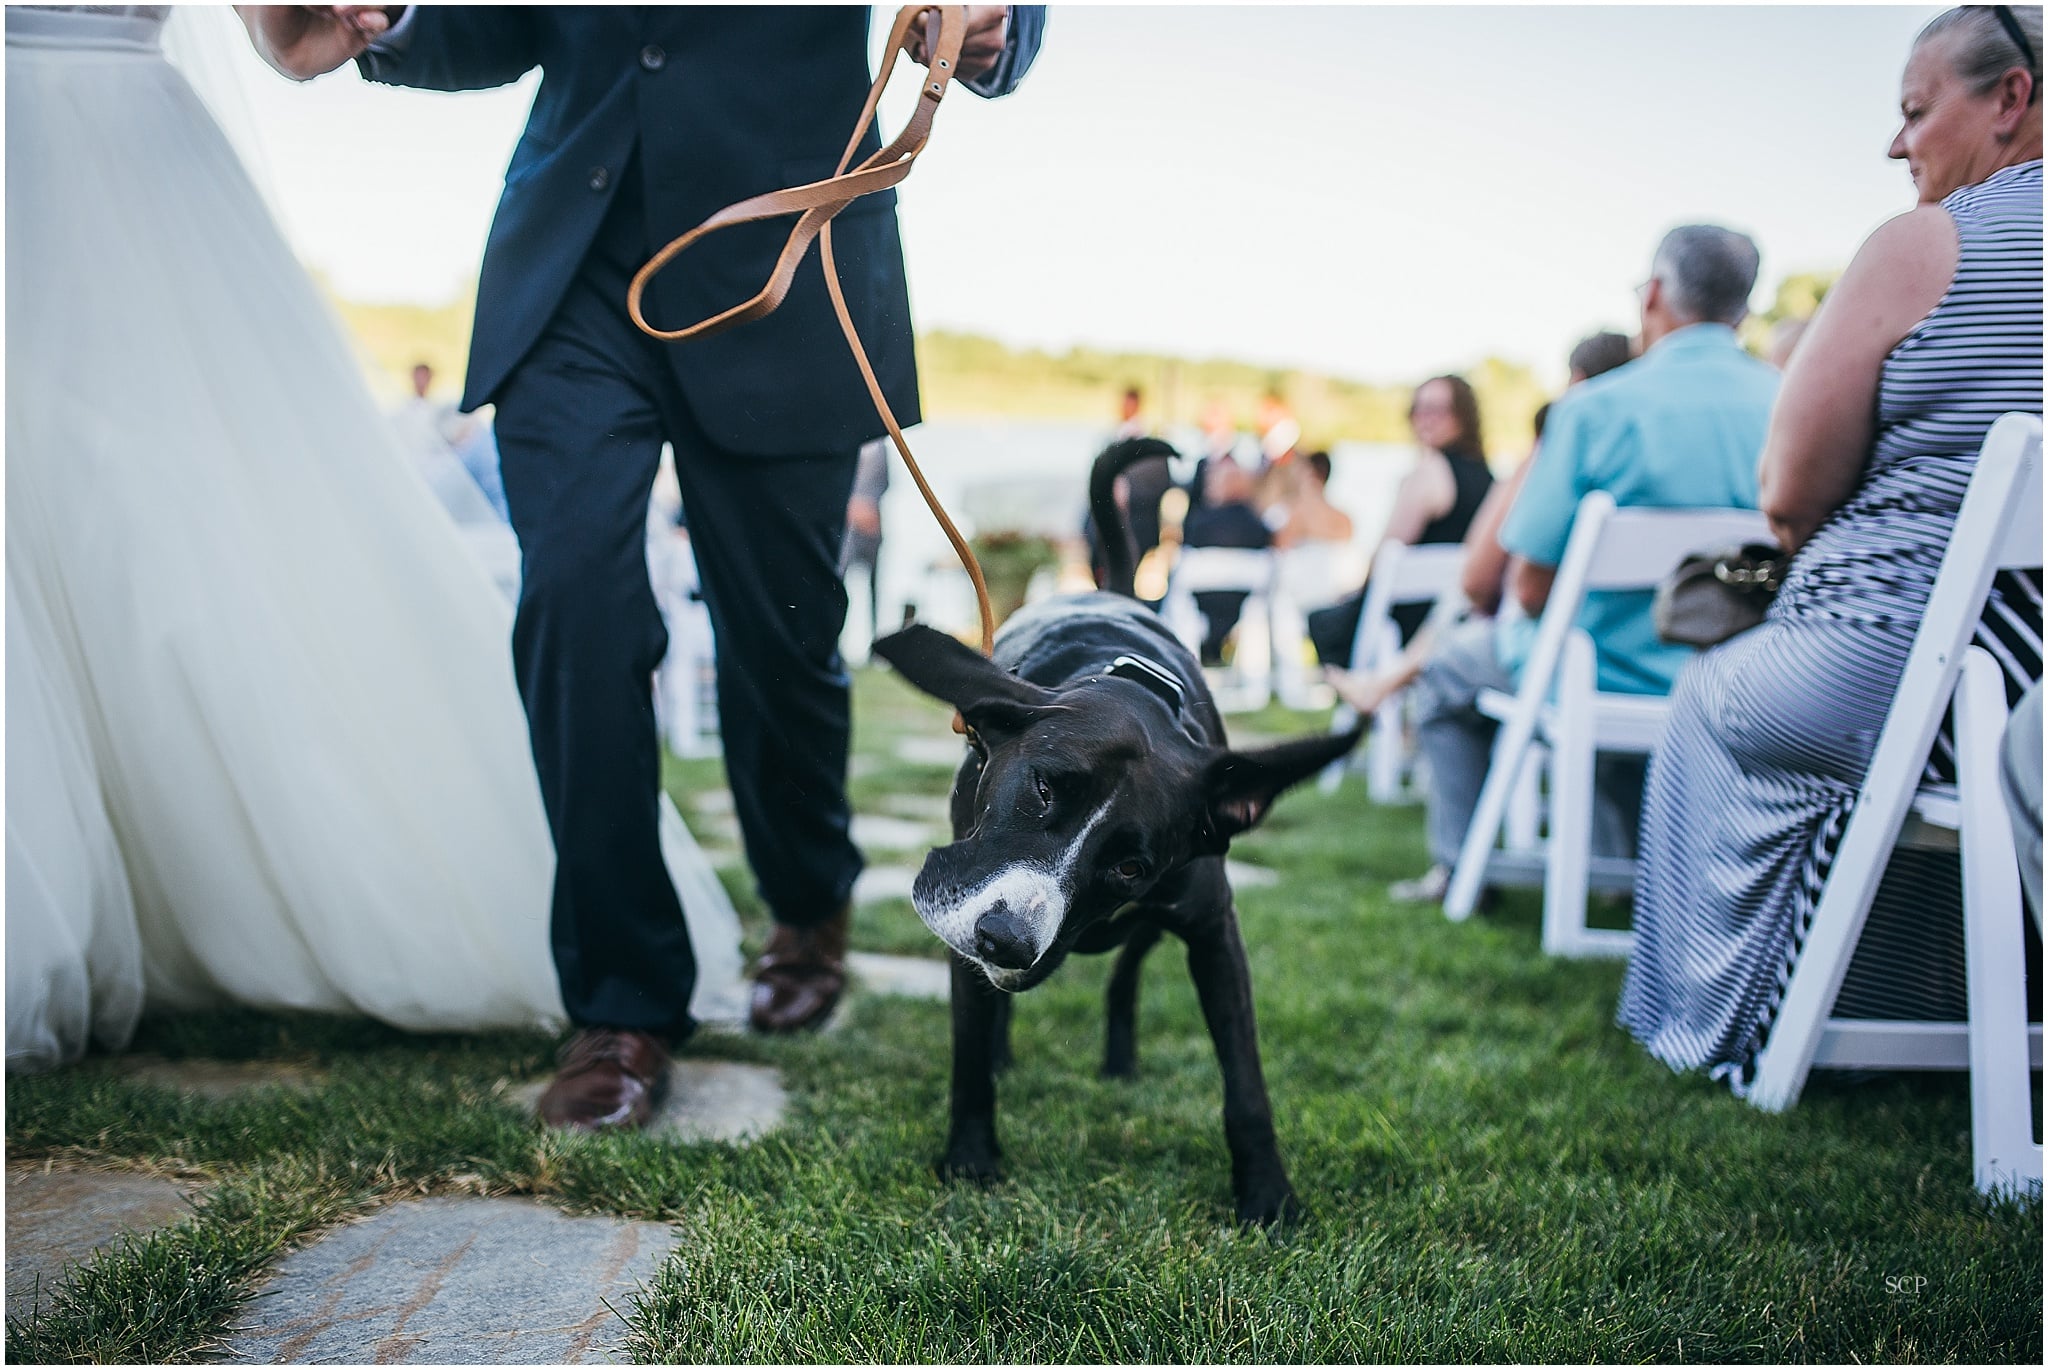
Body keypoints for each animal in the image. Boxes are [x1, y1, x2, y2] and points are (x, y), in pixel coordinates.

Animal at [868, 440, 1359, 1228]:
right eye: (1042, 787)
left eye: (1131, 866)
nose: (1005, 940)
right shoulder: (966, 911)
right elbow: (968, 1050)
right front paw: (971, 1158)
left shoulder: (1212, 927)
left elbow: (1245, 1082)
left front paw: (1267, 1194)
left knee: (1126, 971)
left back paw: (1118, 1059)